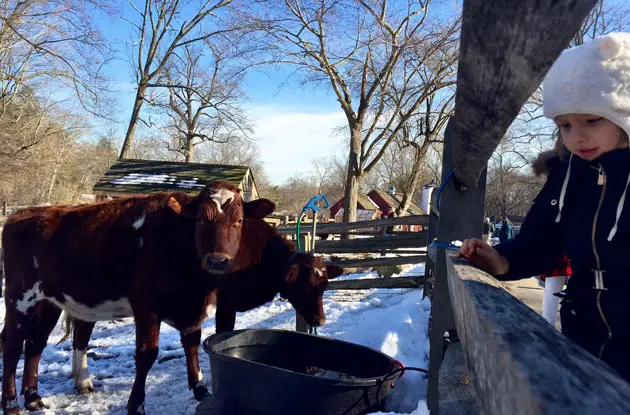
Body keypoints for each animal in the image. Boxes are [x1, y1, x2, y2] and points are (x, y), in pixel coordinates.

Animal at [1, 182, 276, 415]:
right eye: (200, 219)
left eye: (238, 220)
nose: (217, 261)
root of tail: (22, 214)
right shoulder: (147, 307)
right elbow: (146, 355)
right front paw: (136, 405)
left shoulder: (192, 307)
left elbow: (192, 343)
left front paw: (199, 388)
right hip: (20, 296)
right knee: (12, 344)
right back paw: (12, 404)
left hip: (48, 301)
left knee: (35, 342)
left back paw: (33, 397)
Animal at [61, 218, 344, 412]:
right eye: (304, 285)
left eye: (324, 285)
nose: (320, 320)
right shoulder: (225, 302)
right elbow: (222, 334)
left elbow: (194, 341)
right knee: (82, 333)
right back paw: (84, 381)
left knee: (80, 332)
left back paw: (77, 378)